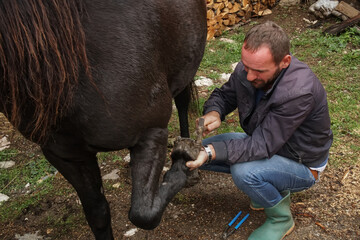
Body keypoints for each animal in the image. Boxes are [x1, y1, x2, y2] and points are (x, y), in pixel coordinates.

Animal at [0, 0, 207, 239]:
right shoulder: (66, 155)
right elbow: (98, 215)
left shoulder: (151, 132)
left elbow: (144, 214)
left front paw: (186, 164)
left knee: (182, 101)